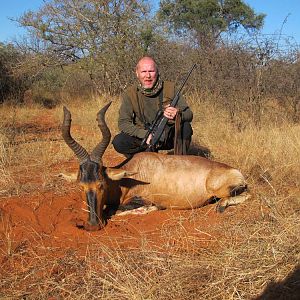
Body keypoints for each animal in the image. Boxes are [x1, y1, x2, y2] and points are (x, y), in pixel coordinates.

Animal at [61, 102, 248, 231]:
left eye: (101, 184)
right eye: (81, 185)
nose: (92, 225)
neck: (129, 176)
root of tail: (236, 172)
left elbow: (119, 209)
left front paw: (151, 208)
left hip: (222, 190)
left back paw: (220, 207)